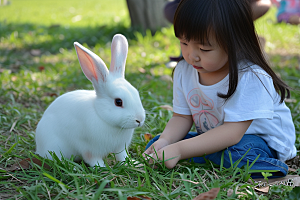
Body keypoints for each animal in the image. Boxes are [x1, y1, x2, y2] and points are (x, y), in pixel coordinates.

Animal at [35, 34, 145, 167]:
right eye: (118, 102)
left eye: (137, 94)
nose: (139, 120)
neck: (103, 117)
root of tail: (38, 146)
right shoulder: (90, 149)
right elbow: (93, 160)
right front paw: (102, 168)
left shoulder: (120, 148)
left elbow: (122, 156)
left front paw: (134, 163)